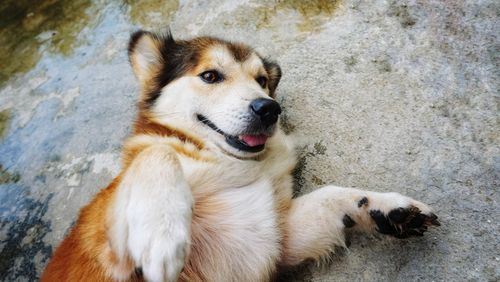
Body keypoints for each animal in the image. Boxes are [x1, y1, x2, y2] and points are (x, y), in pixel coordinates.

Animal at [42, 30, 442, 282]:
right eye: (210, 75)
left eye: (262, 80)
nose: (269, 109)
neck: (228, 166)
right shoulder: (107, 251)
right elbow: (159, 151)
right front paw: (163, 236)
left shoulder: (274, 244)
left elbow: (331, 195)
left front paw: (388, 207)